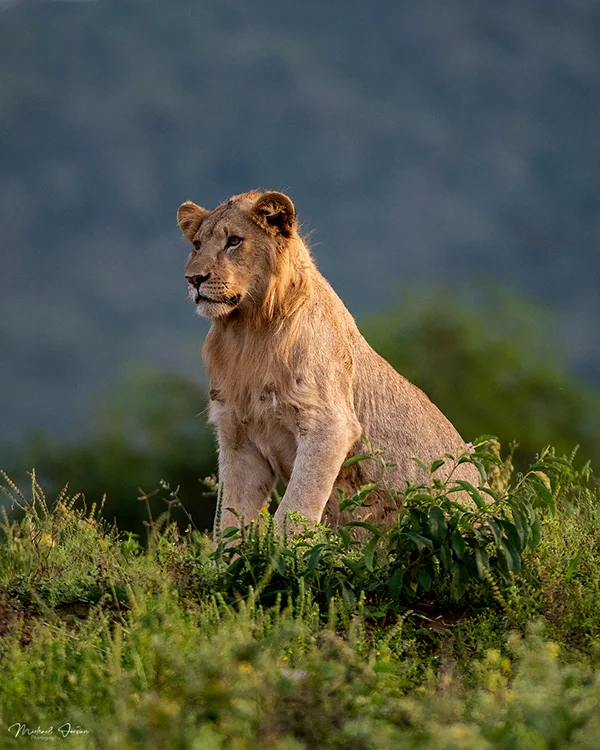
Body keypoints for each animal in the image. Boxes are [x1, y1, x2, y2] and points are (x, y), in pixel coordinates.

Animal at [177, 190, 479, 536]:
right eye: (197, 244)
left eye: (234, 241)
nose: (193, 278)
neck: (248, 331)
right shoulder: (238, 435)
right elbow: (229, 521)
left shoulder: (330, 424)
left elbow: (294, 508)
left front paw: (281, 550)